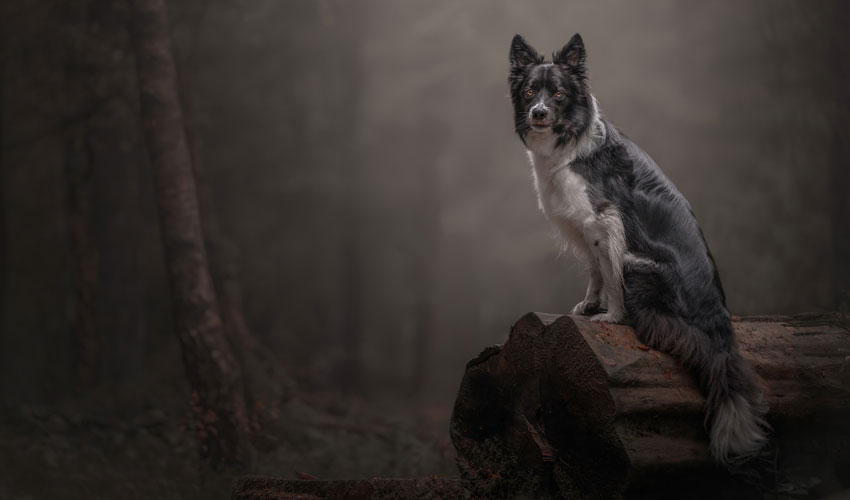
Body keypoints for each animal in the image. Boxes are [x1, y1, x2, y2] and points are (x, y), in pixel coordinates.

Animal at [506, 33, 772, 462]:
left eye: (558, 93)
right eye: (530, 91)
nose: (539, 113)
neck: (569, 138)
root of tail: (718, 324)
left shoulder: (605, 221)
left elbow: (608, 273)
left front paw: (611, 316)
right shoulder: (588, 226)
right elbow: (595, 270)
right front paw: (589, 305)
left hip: (637, 263)